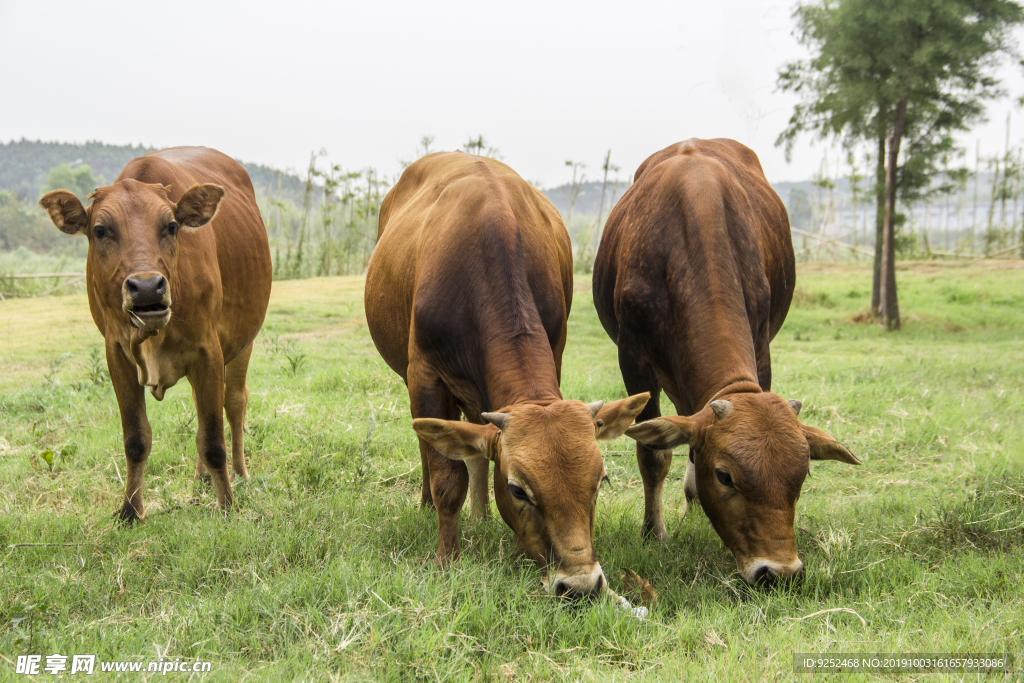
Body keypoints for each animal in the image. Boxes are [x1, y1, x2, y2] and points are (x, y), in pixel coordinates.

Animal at [39, 147, 272, 524]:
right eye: (100, 230)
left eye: (172, 226)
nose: (147, 287)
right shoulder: (116, 354)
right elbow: (136, 440)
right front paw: (131, 511)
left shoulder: (209, 351)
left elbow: (214, 440)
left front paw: (228, 507)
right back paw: (201, 479)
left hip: (243, 343)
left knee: (234, 403)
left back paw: (238, 473)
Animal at [364, 150, 643, 598]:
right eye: (518, 490)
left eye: (601, 480)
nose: (580, 585)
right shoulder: (424, 375)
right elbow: (447, 476)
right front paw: (446, 559)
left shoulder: (555, 352)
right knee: (430, 447)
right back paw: (429, 505)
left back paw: (481, 517)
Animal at [589, 140, 860, 589]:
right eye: (725, 476)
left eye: (801, 476)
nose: (779, 572)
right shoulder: (634, 360)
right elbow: (653, 454)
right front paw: (654, 532)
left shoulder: (762, 345)